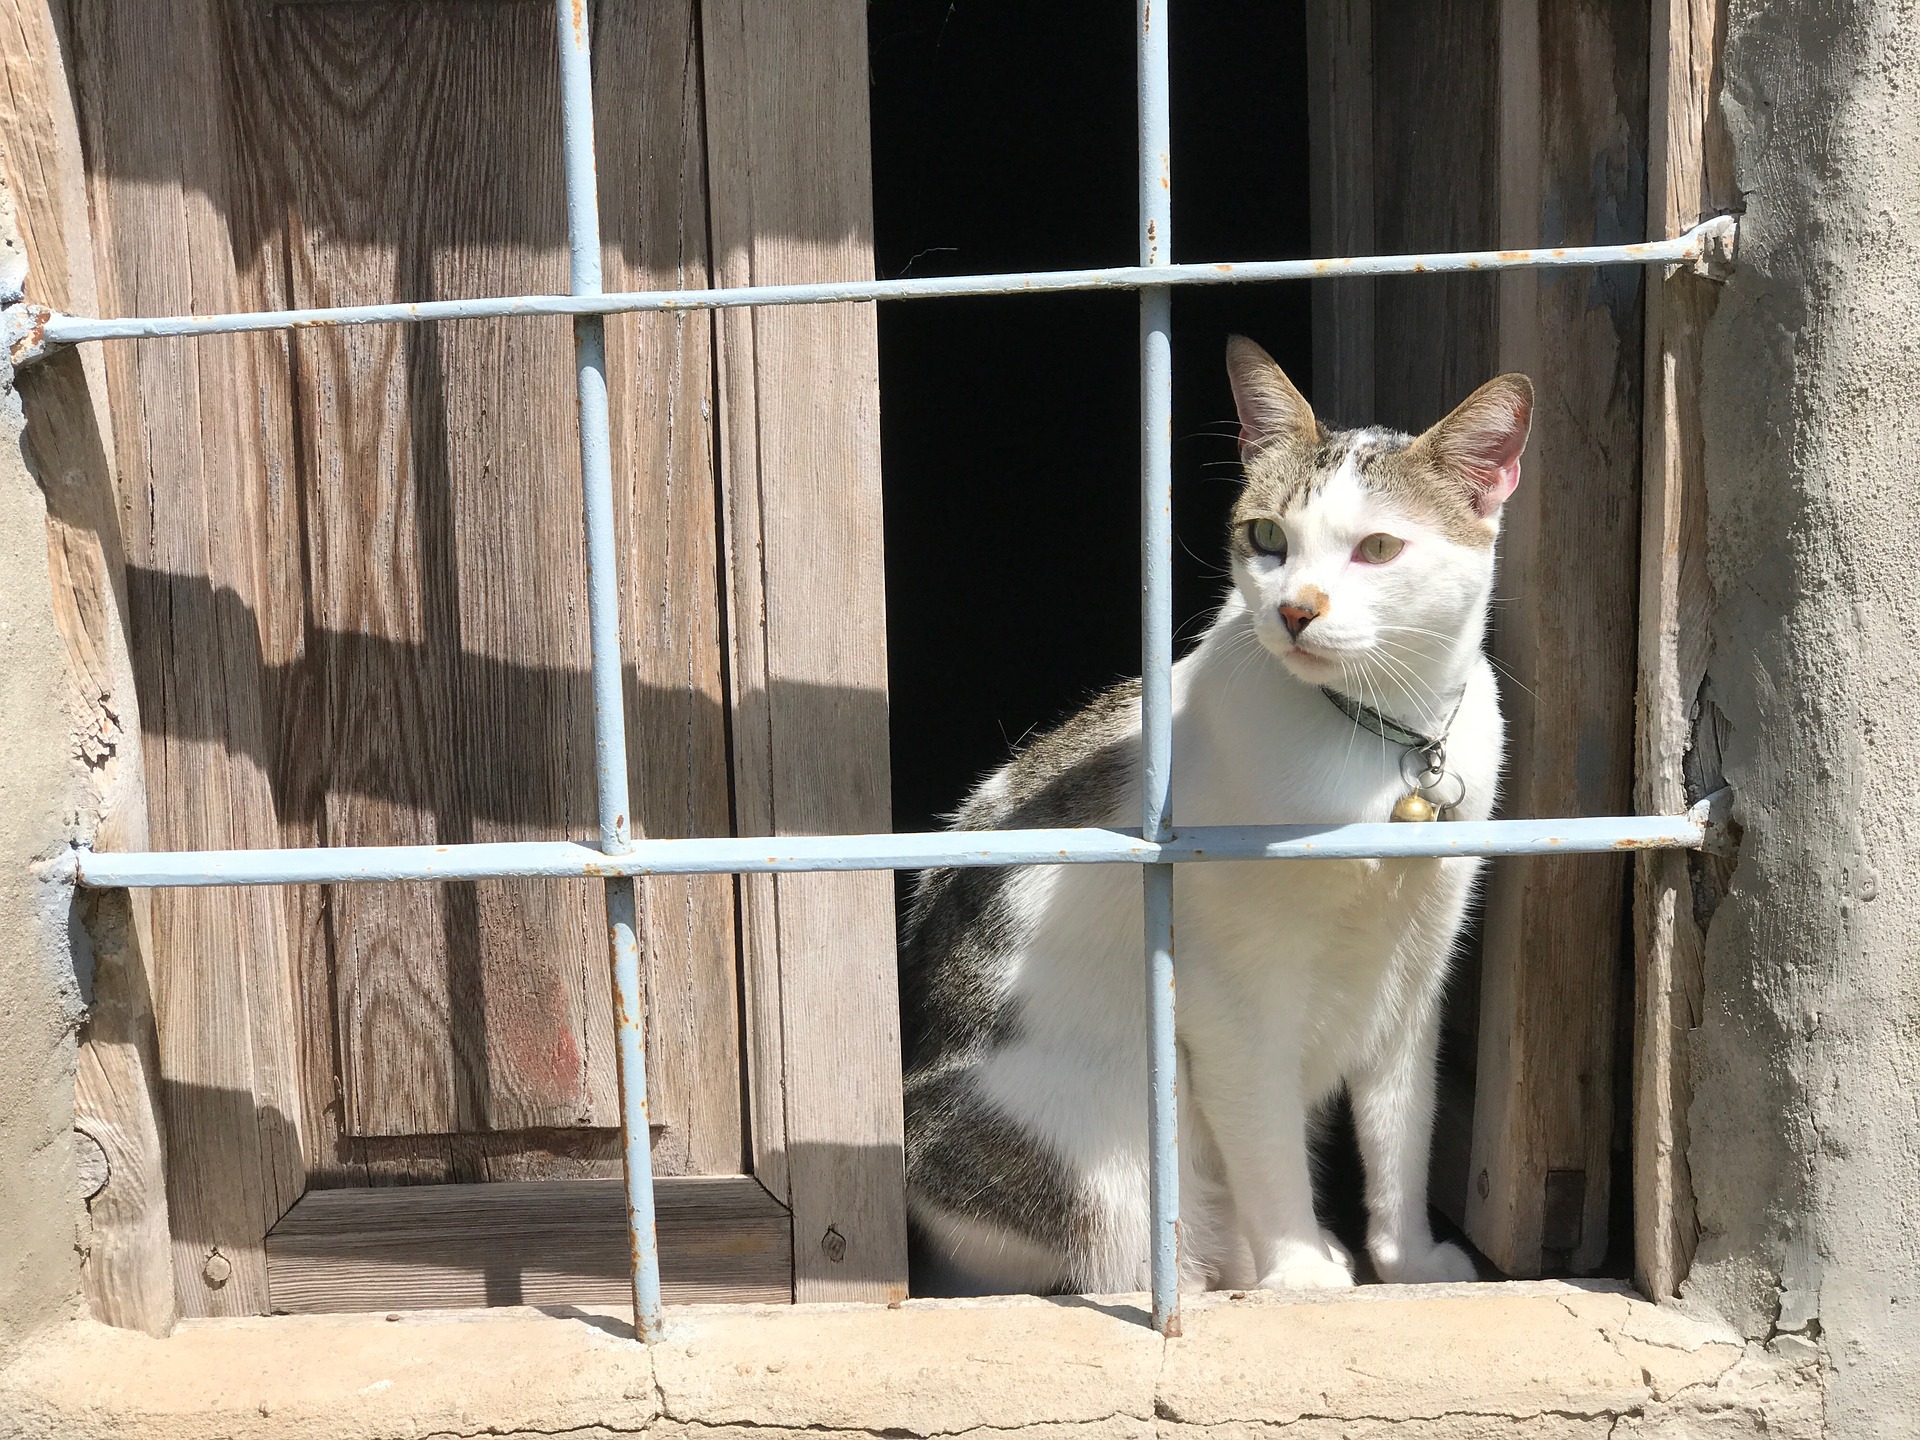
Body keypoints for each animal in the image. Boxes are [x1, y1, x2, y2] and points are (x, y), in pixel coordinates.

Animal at [898, 336, 1528, 1297]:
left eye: (1380, 547)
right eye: (1268, 537)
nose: (1296, 609)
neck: (1378, 743)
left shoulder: (1416, 971)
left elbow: (1401, 1126)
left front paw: (1409, 1263)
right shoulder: (1231, 998)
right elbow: (1266, 1144)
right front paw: (1300, 1275)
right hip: (1097, 1162)